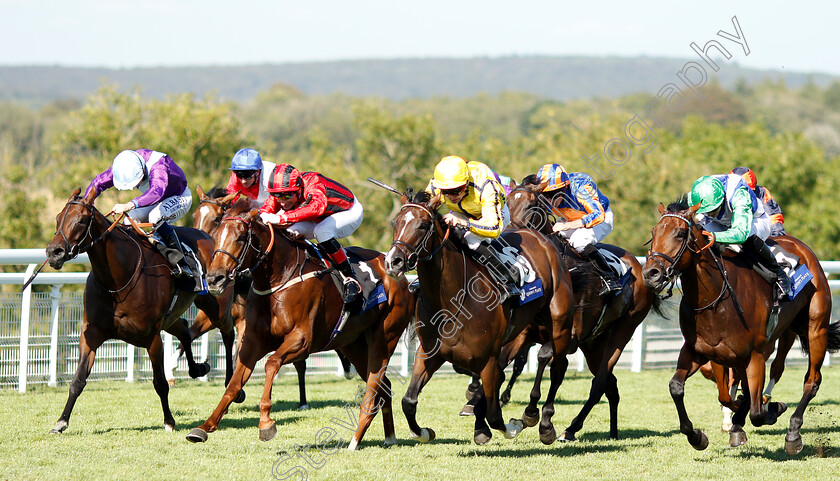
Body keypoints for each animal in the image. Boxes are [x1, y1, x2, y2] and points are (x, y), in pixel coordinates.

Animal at [45, 189, 220, 434]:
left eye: (81, 220)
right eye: (58, 218)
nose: (54, 252)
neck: (117, 281)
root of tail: (207, 235)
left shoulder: (152, 337)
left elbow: (159, 383)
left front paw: (169, 421)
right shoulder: (92, 334)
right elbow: (78, 381)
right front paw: (61, 423)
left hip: (210, 298)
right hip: (172, 316)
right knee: (185, 330)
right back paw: (198, 368)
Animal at [187, 198, 416, 446]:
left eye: (240, 237)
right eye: (216, 235)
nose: (214, 278)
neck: (279, 277)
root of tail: (400, 277)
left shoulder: (302, 341)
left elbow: (271, 364)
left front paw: (266, 423)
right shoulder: (252, 342)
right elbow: (234, 384)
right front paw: (205, 426)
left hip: (384, 339)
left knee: (376, 385)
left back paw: (359, 440)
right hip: (353, 344)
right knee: (384, 386)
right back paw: (389, 437)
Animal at [382, 189, 576, 444]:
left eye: (423, 225)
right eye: (395, 223)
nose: (392, 261)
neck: (451, 302)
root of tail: (542, 239)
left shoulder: (487, 360)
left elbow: (495, 414)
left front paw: (513, 426)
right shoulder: (429, 354)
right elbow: (408, 401)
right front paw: (425, 432)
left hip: (560, 325)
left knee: (557, 369)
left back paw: (543, 423)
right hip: (520, 333)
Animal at [502, 179, 668, 438]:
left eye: (530, 206)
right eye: (507, 203)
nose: (508, 237)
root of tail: (641, 269)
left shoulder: (569, 336)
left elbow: (545, 358)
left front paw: (534, 415)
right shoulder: (526, 333)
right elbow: (506, 360)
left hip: (622, 332)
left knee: (599, 382)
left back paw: (571, 429)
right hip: (593, 343)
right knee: (611, 385)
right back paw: (612, 432)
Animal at [644, 196, 840, 454]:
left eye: (680, 233)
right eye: (654, 232)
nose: (651, 273)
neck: (714, 298)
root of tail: (802, 247)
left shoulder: (755, 353)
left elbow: (756, 411)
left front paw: (770, 409)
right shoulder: (703, 351)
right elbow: (685, 388)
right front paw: (698, 435)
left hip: (815, 329)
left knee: (811, 381)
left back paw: (793, 433)